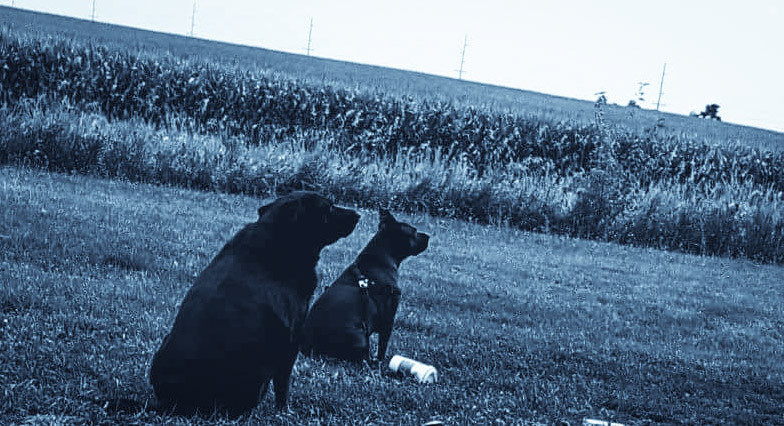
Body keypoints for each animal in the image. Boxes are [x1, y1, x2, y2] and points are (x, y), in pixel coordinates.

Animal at [149, 191, 360, 417]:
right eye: (329, 207)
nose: (357, 215)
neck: (279, 240)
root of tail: (171, 403)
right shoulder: (290, 342)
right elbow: (283, 387)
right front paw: (284, 411)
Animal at [300, 209, 429, 363]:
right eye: (414, 231)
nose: (428, 236)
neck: (380, 260)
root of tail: (308, 348)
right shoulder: (388, 319)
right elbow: (382, 347)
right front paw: (381, 361)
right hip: (360, 335)